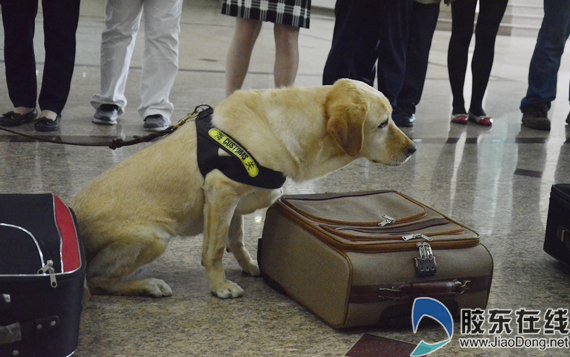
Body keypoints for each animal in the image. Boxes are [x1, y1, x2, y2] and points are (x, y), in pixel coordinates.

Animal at [70, 79, 412, 298]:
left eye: (391, 118)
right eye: (383, 123)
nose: (413, 149)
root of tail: (72, 212)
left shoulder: (233, 201)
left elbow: (236, 241)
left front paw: (250, 266)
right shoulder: (221, 193)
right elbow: (214, 249)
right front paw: (219, 287)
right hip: (153, 236)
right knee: (95, 279)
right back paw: (147, 286)